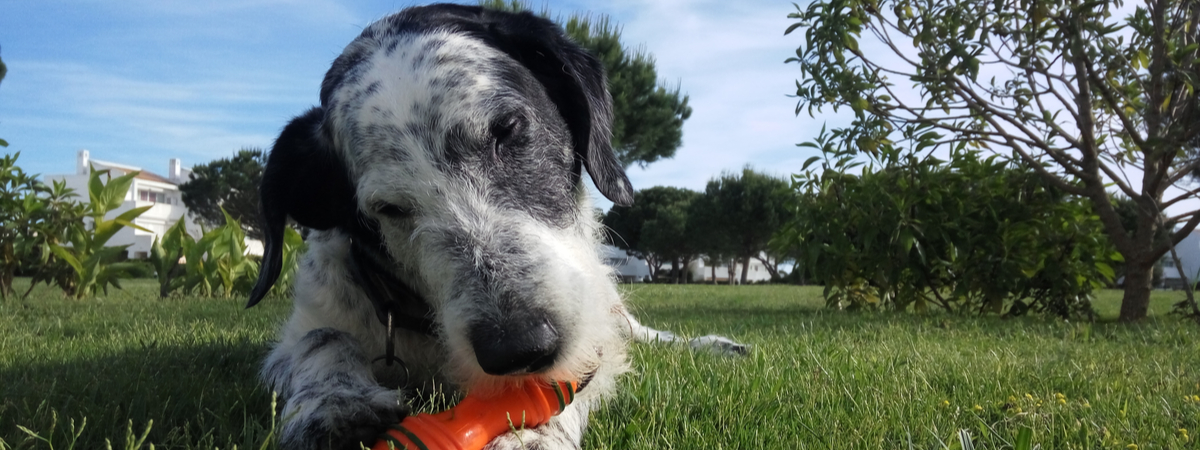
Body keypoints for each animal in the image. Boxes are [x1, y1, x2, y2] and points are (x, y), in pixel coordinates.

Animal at [248, 4, 744, 450]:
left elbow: (574, 381)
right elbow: (322, 338)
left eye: (507, 128)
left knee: (643, 332)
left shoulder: (592, 344)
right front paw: (335, 402)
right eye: (387, 208)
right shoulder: (313, 319)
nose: (519, 347)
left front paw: (532, 434)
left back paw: (715, 345)